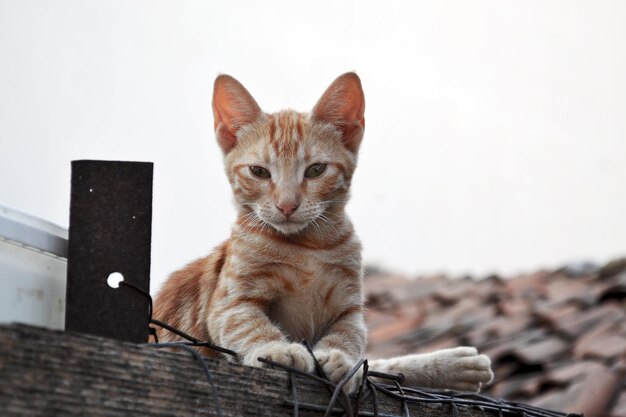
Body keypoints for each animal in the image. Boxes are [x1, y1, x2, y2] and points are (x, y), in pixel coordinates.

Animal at [155, 73, 492, 392]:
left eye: (316, 170)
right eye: (259, 172)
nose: (287, 205)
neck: (308, 246)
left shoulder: (350, 309)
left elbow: (351, 341)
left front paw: (338, 357)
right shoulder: (231, 304)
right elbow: (249, 326)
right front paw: (276, 349)